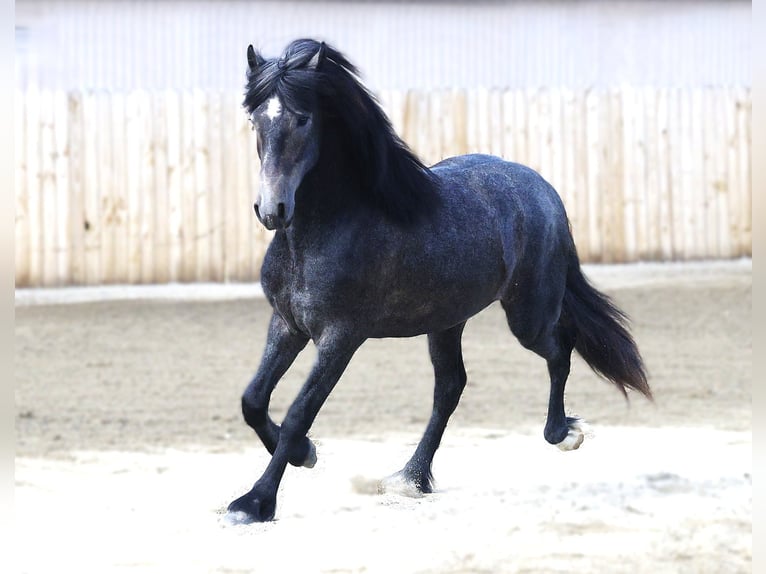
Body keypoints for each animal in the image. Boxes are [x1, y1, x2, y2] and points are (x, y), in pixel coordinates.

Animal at [226, 39, 651, 524]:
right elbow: (253, 400)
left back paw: (562, 433)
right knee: (450, 386)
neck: (329, 227)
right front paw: (303, 455)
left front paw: (255, 502)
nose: (272, 210)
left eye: (302, 118)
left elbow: (299, 412)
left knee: (560, 348)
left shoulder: (340, 338)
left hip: (527, 317)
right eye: (255, 119)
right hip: (447, 321)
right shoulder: (287, 325)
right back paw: (412, 478)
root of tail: (544, 191)